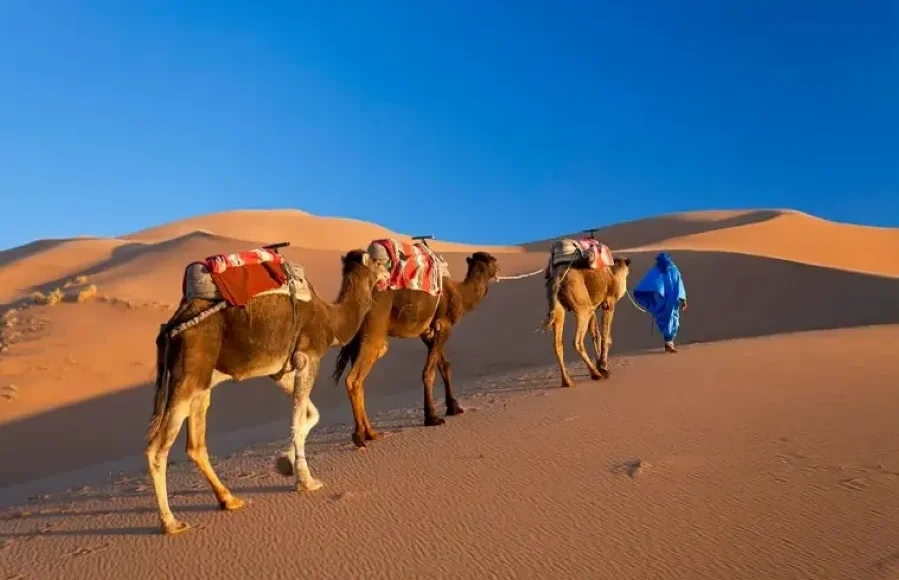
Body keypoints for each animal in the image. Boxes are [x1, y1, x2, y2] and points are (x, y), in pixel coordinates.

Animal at [145, 248, 388, 535]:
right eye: (377, 261)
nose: (389, 270)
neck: (331, 318)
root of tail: (171, 327)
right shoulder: (308, 357)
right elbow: (297, 420)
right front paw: (306, 481)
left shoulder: (280, 370)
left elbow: (310, 415)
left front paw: (285, 463)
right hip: (187, 375)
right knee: (157, 448)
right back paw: (171, 522)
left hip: (201, 381)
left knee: (195, 444)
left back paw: (229, 500)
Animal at [330, 248, 499, 448]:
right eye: (493, 260)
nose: (499, 269)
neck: (460, 294)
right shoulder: (444, 325)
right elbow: (430, 372)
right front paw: (432, 417)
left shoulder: (427, 332)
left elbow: (444, 367)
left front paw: (453, 407)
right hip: (373, 329)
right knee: (354, 379)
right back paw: (360, 436)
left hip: (359, 336)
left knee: (359, 379)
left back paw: (371, 433)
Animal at [542, 241, 631, 389]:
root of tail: (557, 278)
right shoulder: (609, 302)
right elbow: (606, 336)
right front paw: (603, 367)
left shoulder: (593, 305)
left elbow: (596, 334)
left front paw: (601, 365)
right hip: (582, 307)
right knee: (577, 341)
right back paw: (595, 374)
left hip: (558, 307)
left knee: (557, 344)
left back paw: (567, 381)